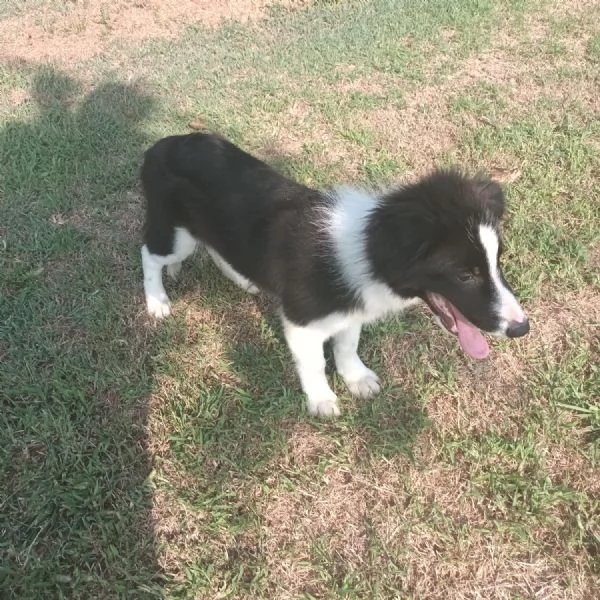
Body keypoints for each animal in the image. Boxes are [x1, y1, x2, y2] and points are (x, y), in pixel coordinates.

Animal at [142, 135, 528, 418]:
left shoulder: (352, 309)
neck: (366, 249)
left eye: (497, 263)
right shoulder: (301, 322)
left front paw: (355, 378)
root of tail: (162, 144)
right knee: (149, 254)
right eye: (464, 275)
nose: (522, 329)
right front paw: (321, 399)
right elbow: (314, 362)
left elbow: (347, 344)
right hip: (176, 235)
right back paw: (156, 301)